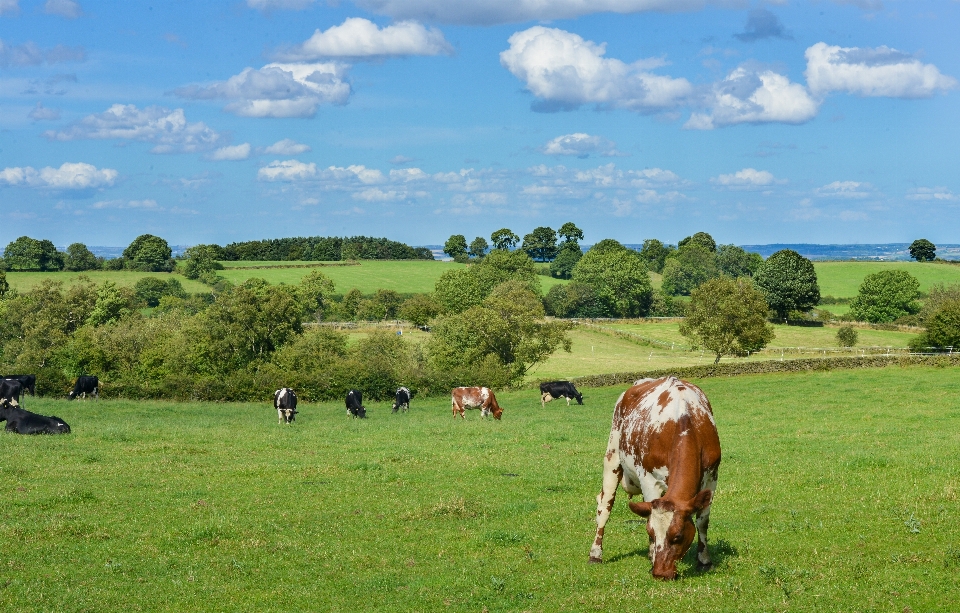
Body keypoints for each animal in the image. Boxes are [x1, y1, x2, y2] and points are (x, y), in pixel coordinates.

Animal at [584, 372, 720, 580]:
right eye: (651, 533)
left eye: (678, 536)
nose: (660, 573)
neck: (685, 420)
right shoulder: (649, 480)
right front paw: (652, 556)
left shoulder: (712, 477)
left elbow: (702, 521)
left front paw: (704, 561)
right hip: (612, 456)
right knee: (605, 506)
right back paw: (595, 553)